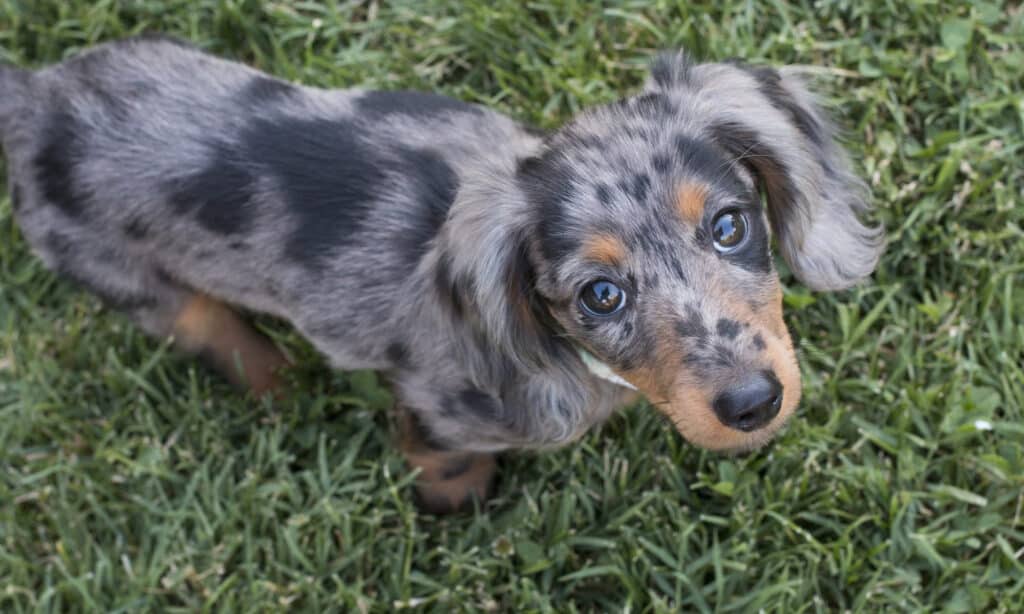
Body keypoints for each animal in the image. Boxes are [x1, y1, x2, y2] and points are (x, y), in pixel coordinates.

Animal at [0, 36, 880, 511]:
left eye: (730, 226)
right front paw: (460, 507)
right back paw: (278, 383)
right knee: (211, 330)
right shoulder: (435, 408)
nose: (753, 405)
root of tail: (36, 100)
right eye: (601, 296)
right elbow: (447, 463)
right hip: (133, 281)